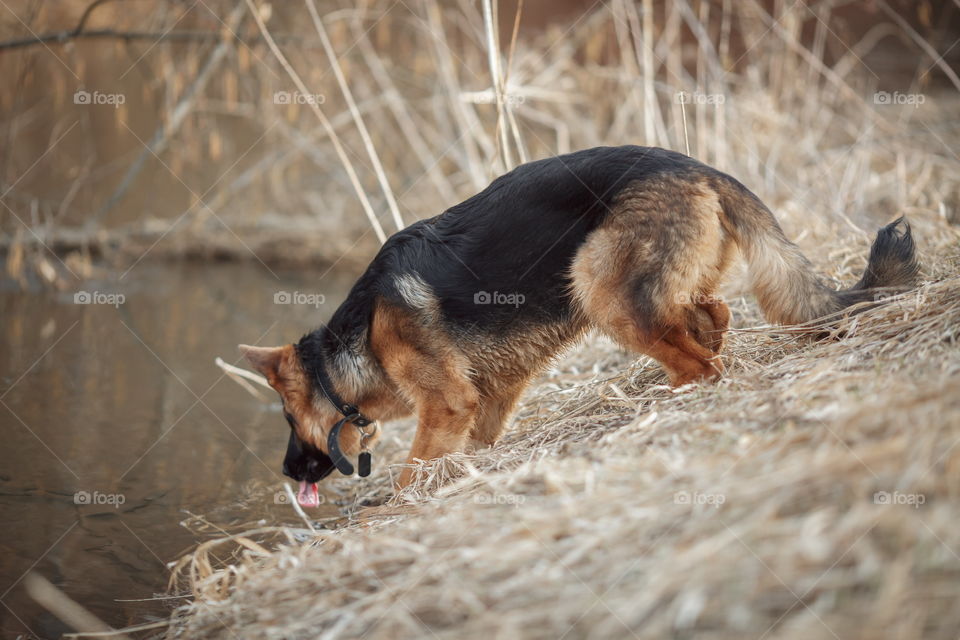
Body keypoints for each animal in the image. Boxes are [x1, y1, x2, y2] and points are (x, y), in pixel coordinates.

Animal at [238, 148, 916, 502]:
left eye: (287, 420)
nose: (287, 474)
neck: (357, 339)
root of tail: (699, 167)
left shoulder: (447, 402)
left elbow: (413, 473)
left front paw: (395, 511)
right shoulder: (490, 399)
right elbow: (474, 448)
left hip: (597, 282)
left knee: (700, 362)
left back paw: (666, 402)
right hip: (648, 286)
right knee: (713, 315)